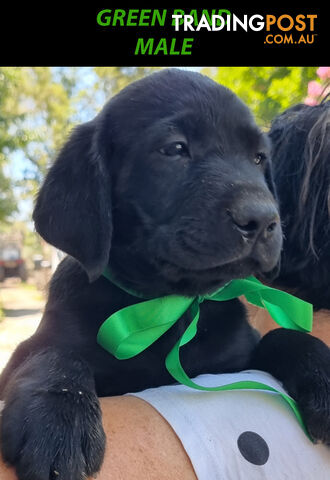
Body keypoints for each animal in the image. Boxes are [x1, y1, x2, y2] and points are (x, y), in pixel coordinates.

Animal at [0, 68, 330, 480]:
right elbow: (51, 354)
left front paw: (324, 376)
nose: (264, 219)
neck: (165, 308)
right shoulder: (33, 350)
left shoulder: (239, 355)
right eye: (175, 149)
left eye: (258, 158)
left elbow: (283, 337)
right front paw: (58, 422)